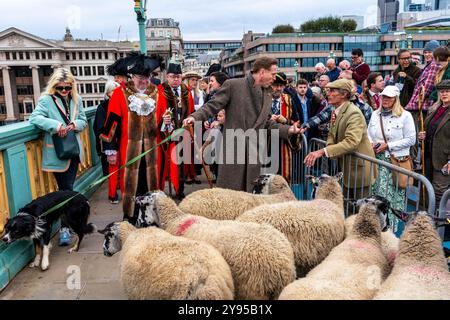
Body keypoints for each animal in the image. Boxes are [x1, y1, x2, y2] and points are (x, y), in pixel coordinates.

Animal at [135, 191, 298, 302]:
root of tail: (280, 265)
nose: (137, 224)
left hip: (253, 290)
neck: (175, 218)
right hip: (276, 290)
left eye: (144, 205)